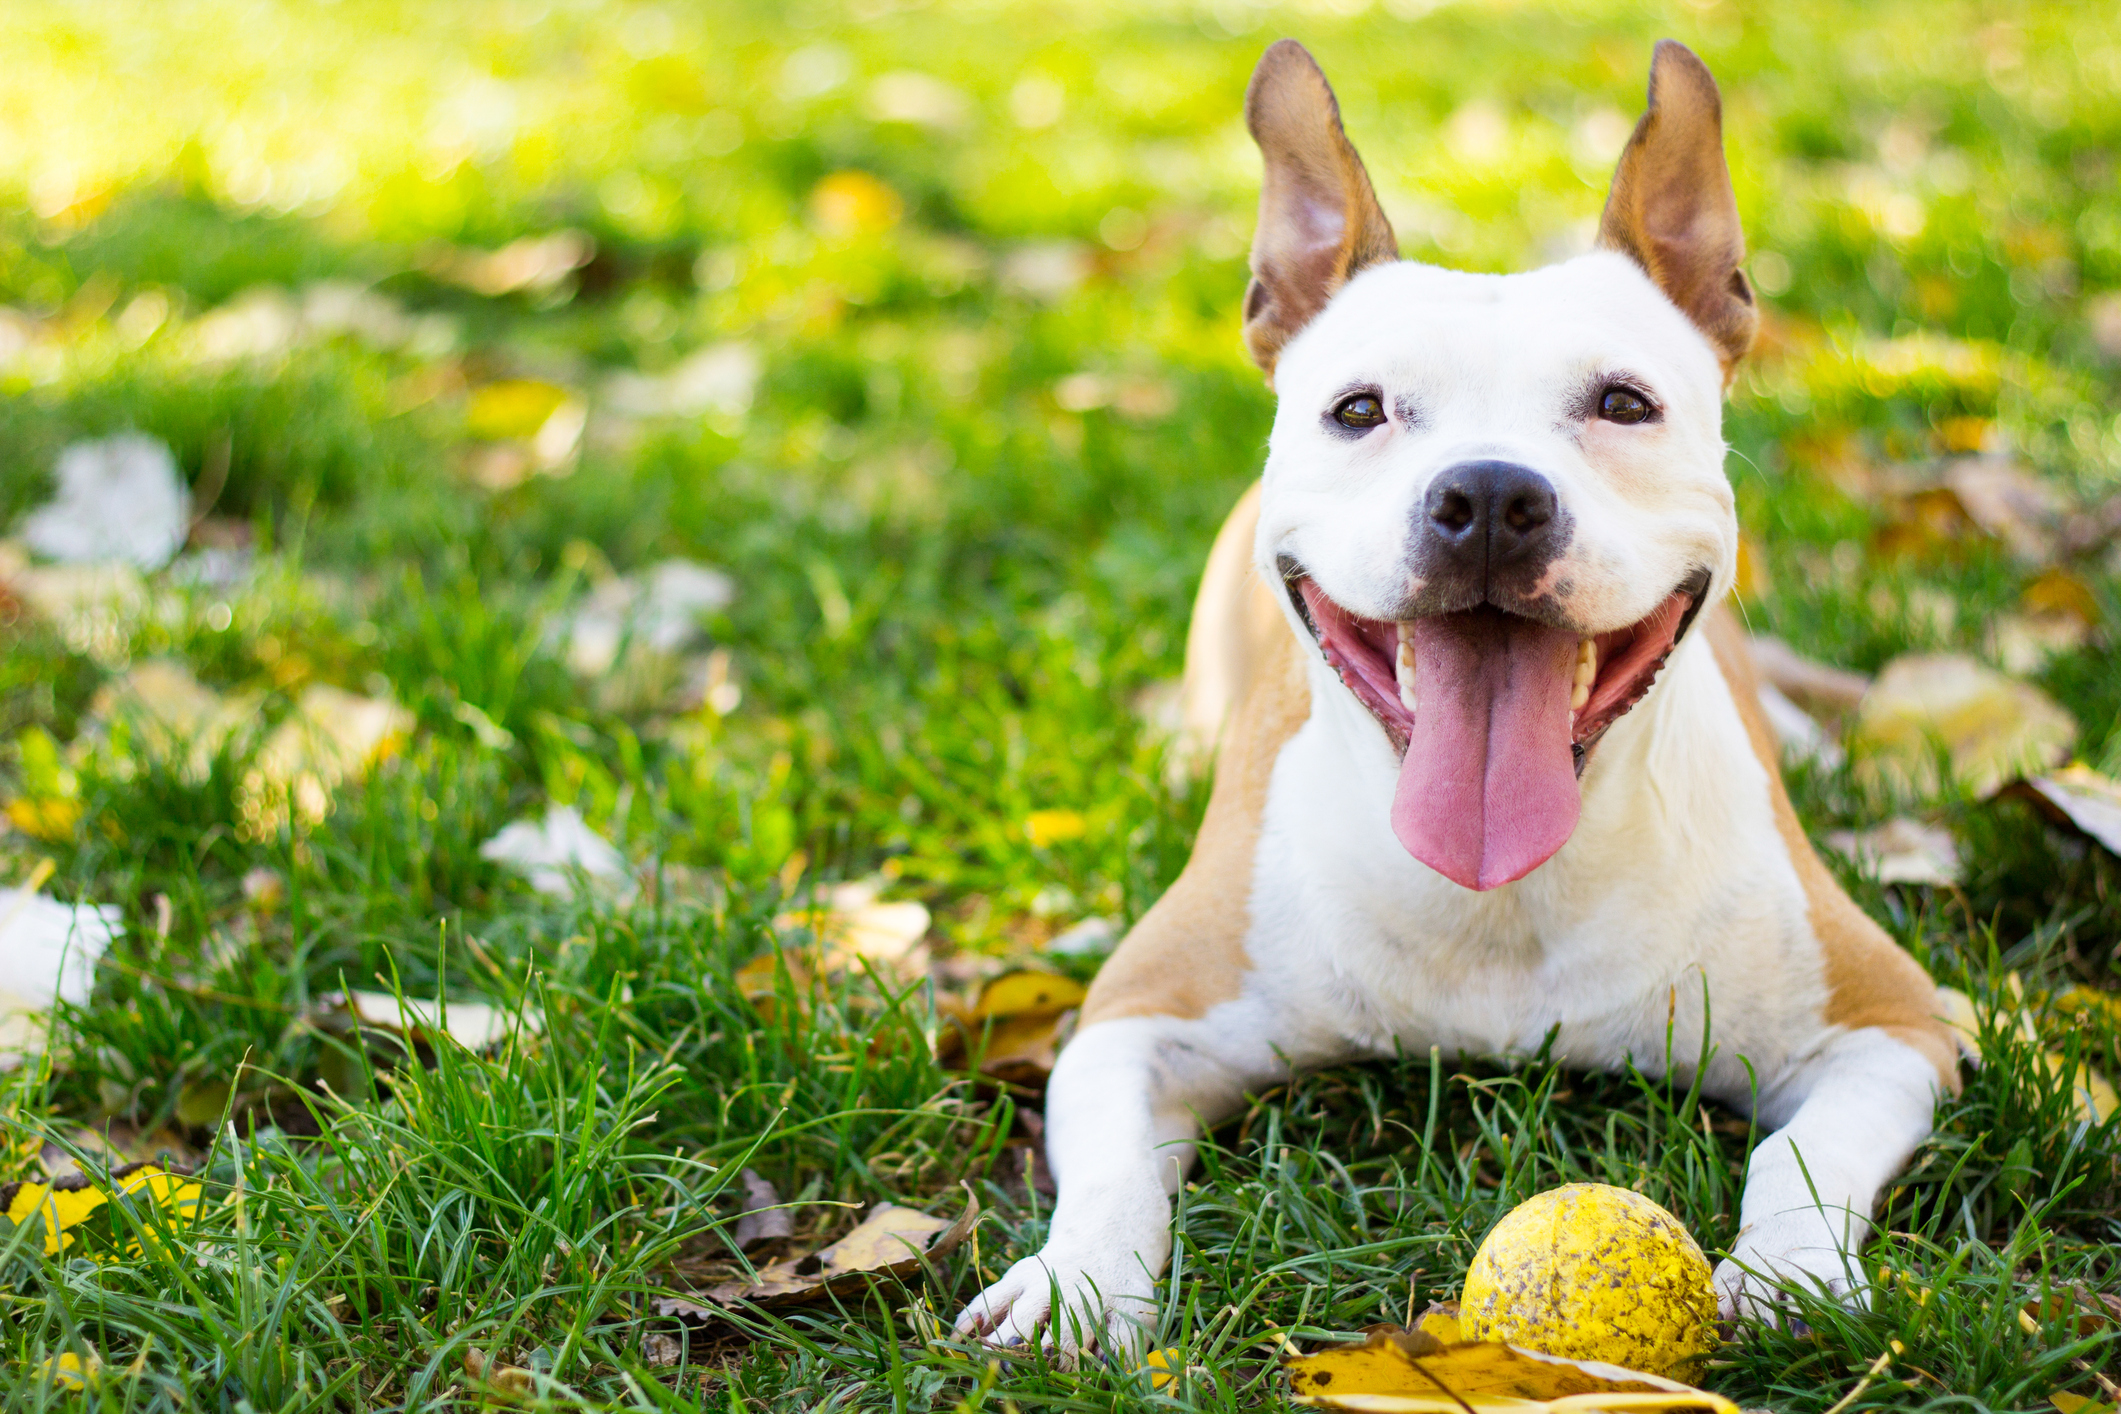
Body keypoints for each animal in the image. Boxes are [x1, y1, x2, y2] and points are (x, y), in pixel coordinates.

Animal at [954, 38, 1959, 1356]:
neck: (1505, 894)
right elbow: (1114, 1165)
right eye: (1360, 410)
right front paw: (1071, 1286)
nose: (1486, 495)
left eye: (1624, 402)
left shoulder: (1891, 1026)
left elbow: (1806, 1149)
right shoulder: (1135, 1017)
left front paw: (1789, 1269)